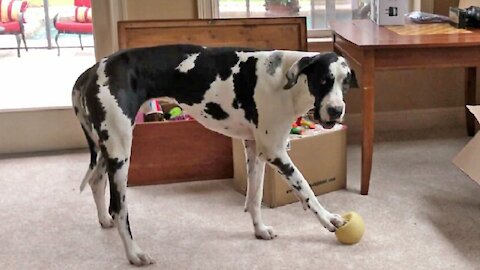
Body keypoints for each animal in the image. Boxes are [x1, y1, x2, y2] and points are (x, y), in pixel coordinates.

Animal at [71, 44, 356, 266]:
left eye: (345, 83)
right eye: (323, 80)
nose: (336, 110)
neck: (284, 79)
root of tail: (93, 70)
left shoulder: (255, 149)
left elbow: (255, 197)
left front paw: (259, 230)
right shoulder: (274, 151)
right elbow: (306, 189)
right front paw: (329, 218)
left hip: (108, 150)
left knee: (96, 181)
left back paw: (104, 220)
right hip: (120, 153)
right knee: (120, 208)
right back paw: (134, 254)